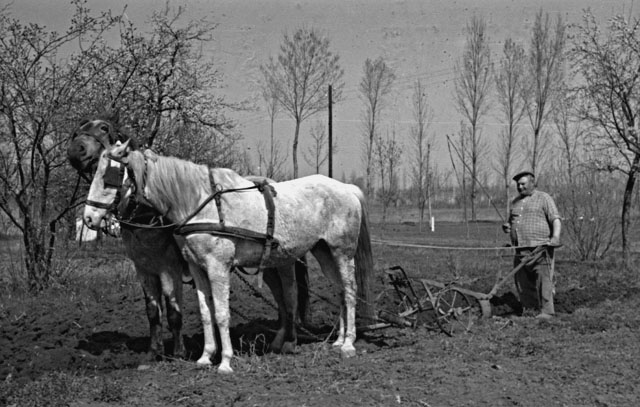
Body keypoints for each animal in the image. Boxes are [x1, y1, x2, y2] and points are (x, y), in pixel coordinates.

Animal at [66, 116, 309, 359]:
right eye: (78, 129)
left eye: (103, 128)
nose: (74, 152)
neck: (149, 217)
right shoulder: (144, 270)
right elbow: (152, 311)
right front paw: (154, 351)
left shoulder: (169, 268)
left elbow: (174, 311)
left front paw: (178, 352)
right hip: (267, 265)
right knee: (280, 297)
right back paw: (278, 340)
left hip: (284, 262)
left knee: (290, 296)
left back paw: (289, 341)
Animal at [83, 141, 375, 373]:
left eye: (109, 176)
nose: (88, 218)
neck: (200, 203)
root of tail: (348, 188)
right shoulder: (196, 268)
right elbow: (205, 312)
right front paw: (204, 357)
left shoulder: (215, 267)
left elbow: (222, 313)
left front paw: (225, 361)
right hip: (322, 252)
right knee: (338, 291)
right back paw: (337, 340)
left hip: (341, 252)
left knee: (349, 290)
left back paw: (348, 344)